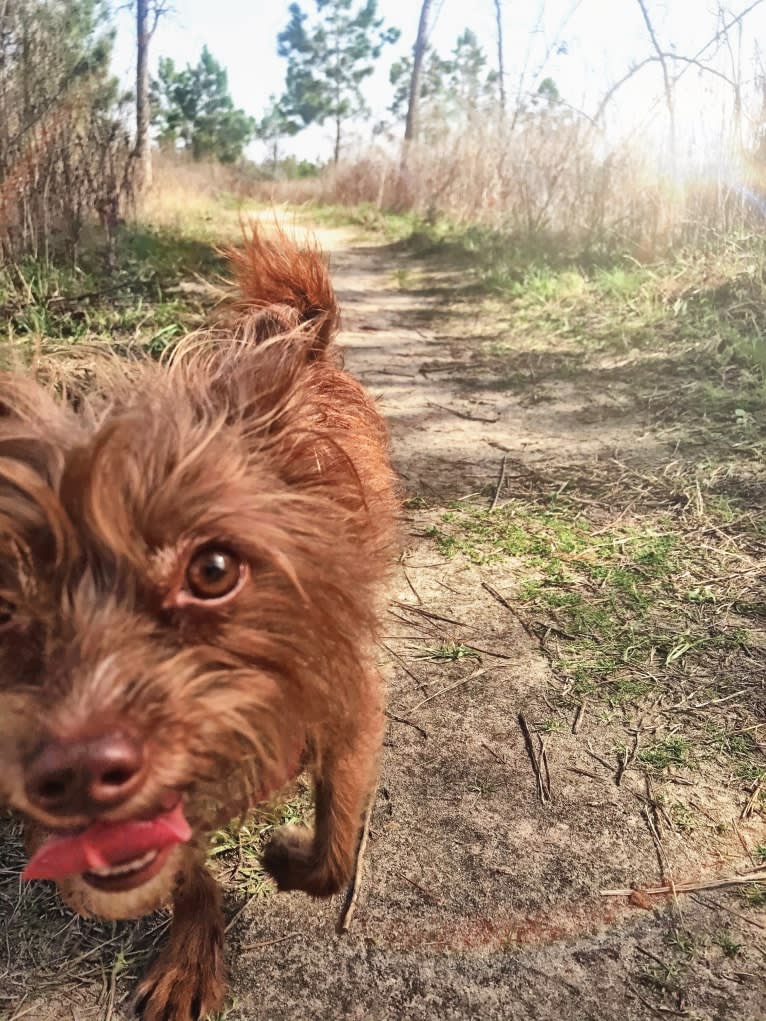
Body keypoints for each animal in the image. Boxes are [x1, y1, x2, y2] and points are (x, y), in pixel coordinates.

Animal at [0, 229, 398, 1021]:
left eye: (212, 570)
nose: (76, 771)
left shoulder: (349, 702)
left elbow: (336, 850)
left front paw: (285, 854)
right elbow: (185, 869)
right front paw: (191, 954)